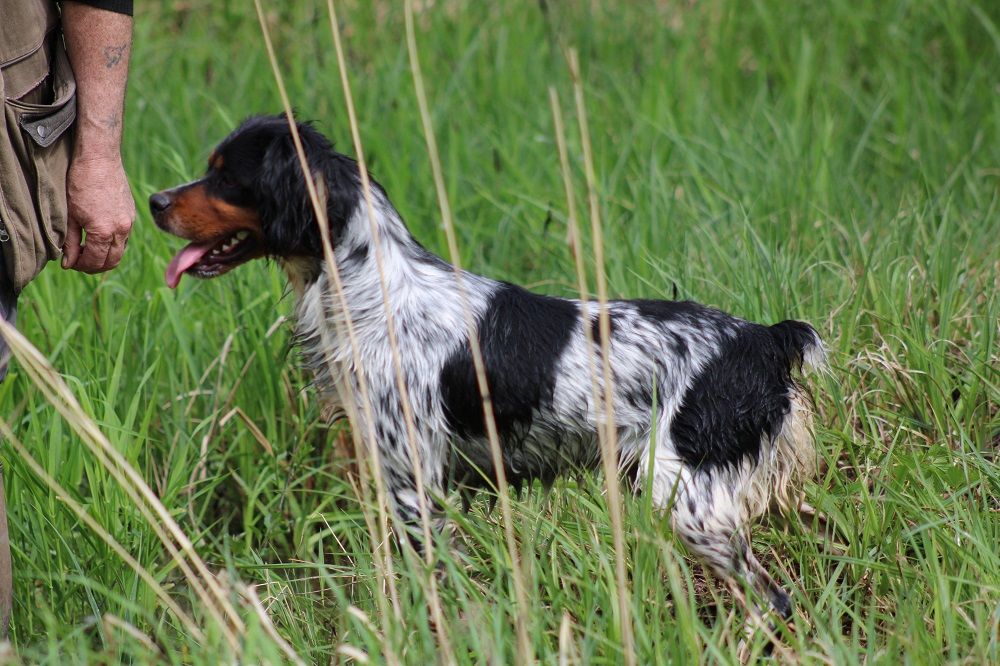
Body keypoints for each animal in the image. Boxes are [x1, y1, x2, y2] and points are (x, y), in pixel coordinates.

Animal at [148, 114, 820, 616]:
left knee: (774, 600)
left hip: (690, 503)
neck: (373, 289)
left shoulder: (417, 485)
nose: (153, 199)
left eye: (226, 176)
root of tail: (759, 339)